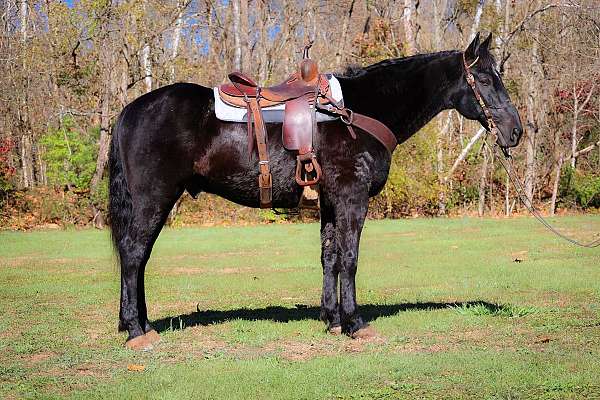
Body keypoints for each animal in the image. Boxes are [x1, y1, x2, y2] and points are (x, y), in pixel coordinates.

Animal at [110, 32, 524, 348]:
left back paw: (142, 324)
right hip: (153, 199)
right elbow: (350, 258)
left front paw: (332, 319)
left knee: (139, 258)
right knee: (133, 255)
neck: (356, 113)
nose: (516, 131)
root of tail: (131, 110)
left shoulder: (329, 200)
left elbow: (330, 257)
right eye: (486, 80)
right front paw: (355, 322)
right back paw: (135, 331)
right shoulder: (352, 198)